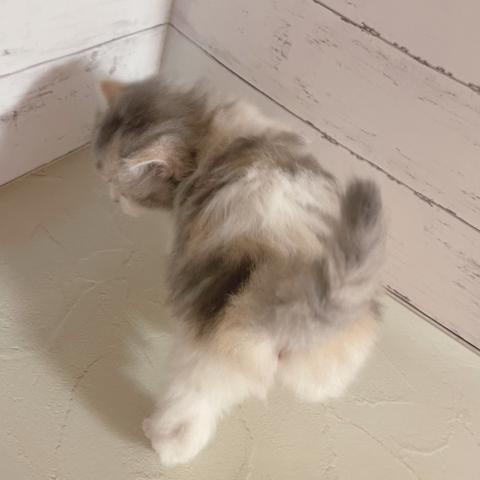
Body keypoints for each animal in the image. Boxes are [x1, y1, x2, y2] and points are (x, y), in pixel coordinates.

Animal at [93, 76, 385, 466]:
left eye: (120, 185)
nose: (111, 197)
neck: (205, 126)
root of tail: (295, 306)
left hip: (205, 360)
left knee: (189, 413)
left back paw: (162, 442)